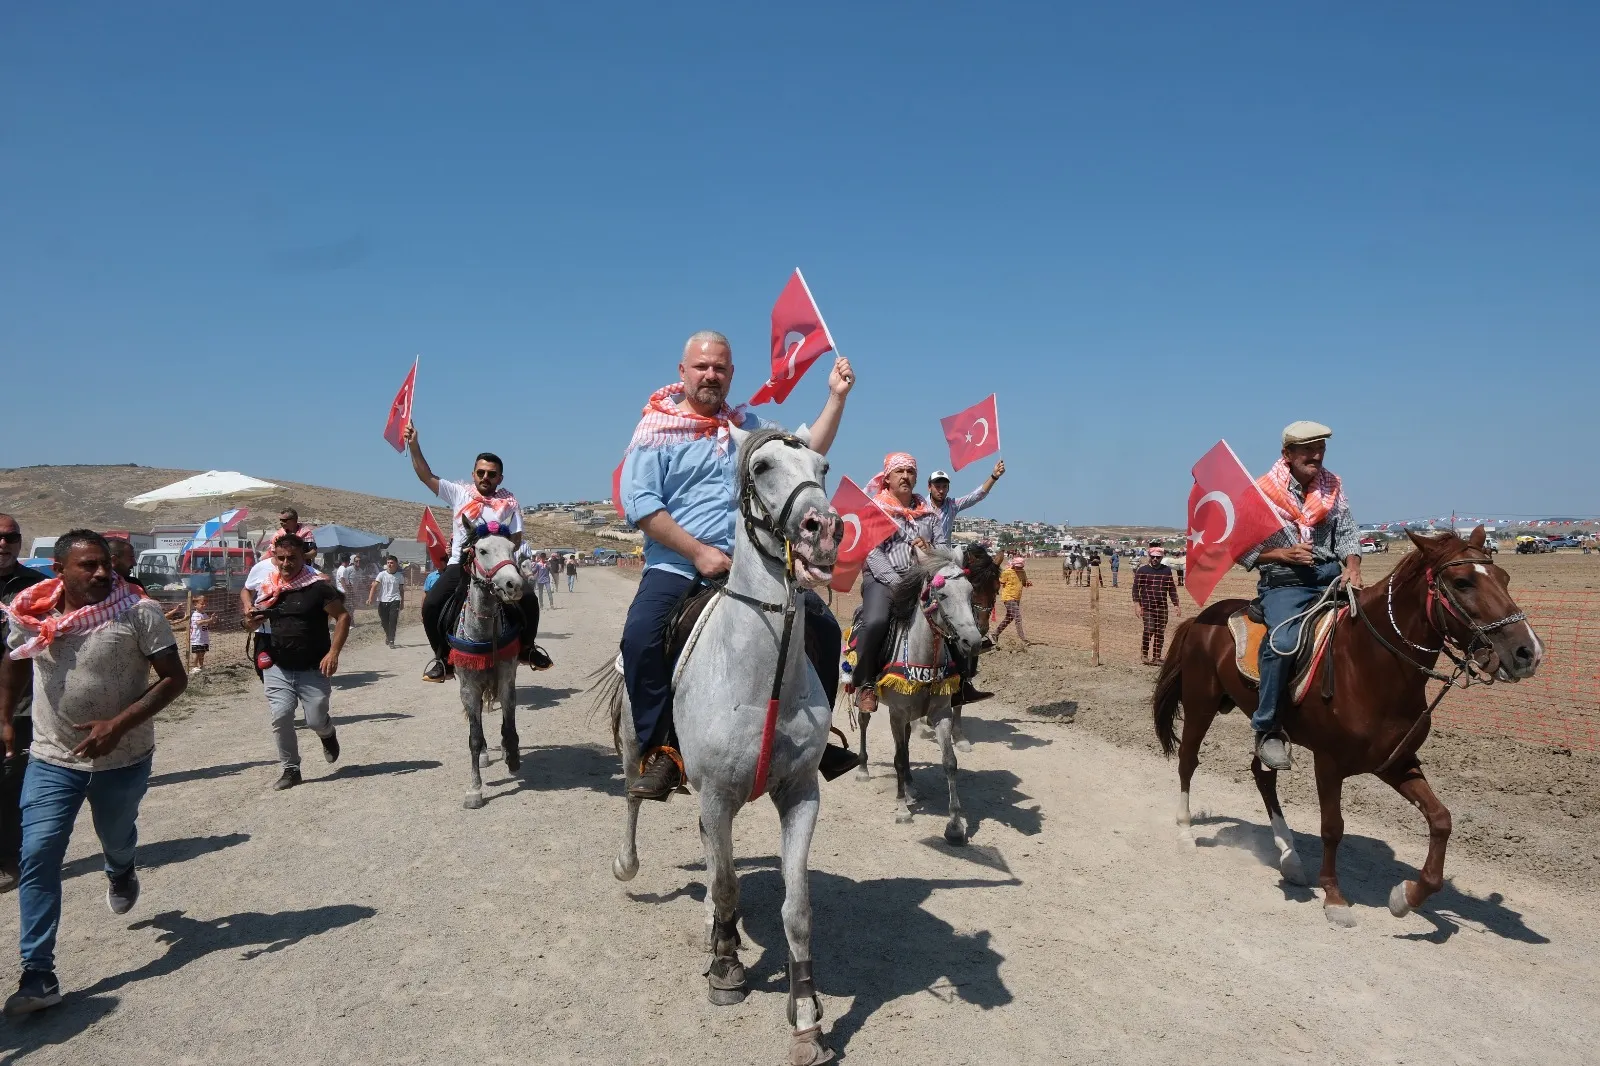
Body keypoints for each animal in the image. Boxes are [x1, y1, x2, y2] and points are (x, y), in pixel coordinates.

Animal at [451, 521, 524, 806]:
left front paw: (512, 755)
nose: (514, 585)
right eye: (481, 550)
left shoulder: (506, 678)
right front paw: (474, 789)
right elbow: (473, 736)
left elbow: (509, 723)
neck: (483, 631)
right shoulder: (468, 688)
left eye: (513, 550)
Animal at [601, 422, 844, 1062]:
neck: (762, 674)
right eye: (761, 467)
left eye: (823, 467)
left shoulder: (800, 795)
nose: (824, 529)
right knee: (633, 800)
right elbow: (731, 886)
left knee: (712, 855)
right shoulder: (715, 793)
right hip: (635, 745)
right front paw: (727, 969)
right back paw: (629, 865)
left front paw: (805, 1016)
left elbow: (796, 907)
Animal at [864, 550, 985, 845]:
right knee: (863, 724)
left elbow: (949, 762)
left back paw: (910, 786)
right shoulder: (896, 714)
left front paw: (955, 825)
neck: (924, 657)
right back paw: (863, 769)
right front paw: (901, 809)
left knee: (907, 744)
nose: (974, 642)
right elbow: (897, 758)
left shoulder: (940, 713)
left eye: (970, 591)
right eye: (941, 595)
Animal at [1158, 528, 1542, 921]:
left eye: (1504, 578)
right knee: (1188, 761)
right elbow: (1332, 828)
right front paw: (1334, 897)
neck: (1369, 665)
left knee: (1263, 775)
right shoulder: (1329, 763)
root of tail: (1202, 618)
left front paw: (1405, 897)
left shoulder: (1396, 762)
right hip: (1200, 705)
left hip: (1267, 731)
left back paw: (1290, 859)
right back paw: (1186, 832)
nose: (1528, 652)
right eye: (1462, 582)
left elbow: (1441, 819)